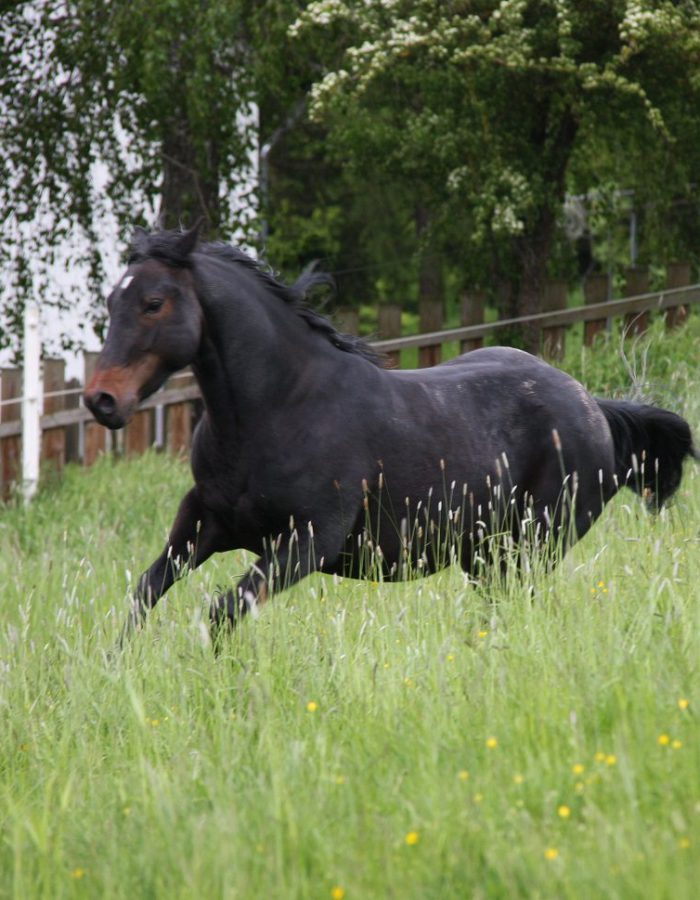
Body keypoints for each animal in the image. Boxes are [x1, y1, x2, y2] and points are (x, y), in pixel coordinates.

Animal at [84, 223, 697, 643]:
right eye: (112, 300)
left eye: (154, 302)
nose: (101, 400)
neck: (278, 408)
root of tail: (594, 407)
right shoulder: (206, 521)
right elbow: (144, 595)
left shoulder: (308, 540)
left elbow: (222, 611)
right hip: (485, 552)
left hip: (532, 545)